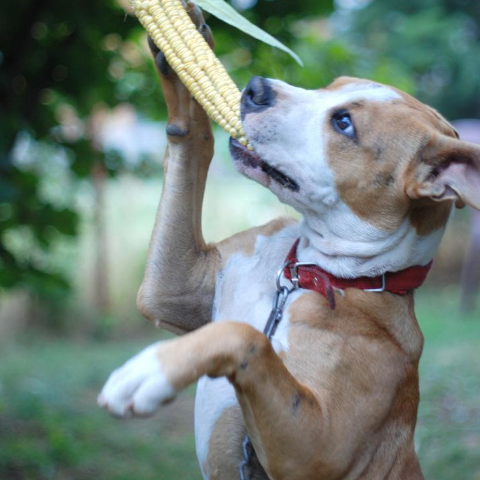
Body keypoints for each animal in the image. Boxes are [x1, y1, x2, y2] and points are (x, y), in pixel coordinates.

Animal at [97, 4, 480, 480]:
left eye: (344, 123)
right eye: (329, 86)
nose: (256, 88)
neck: (307, 275)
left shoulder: (314, 448)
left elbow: (246, 337)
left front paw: (153, 369)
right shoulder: (173, 286)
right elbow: (193, 141)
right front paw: (185, 54)